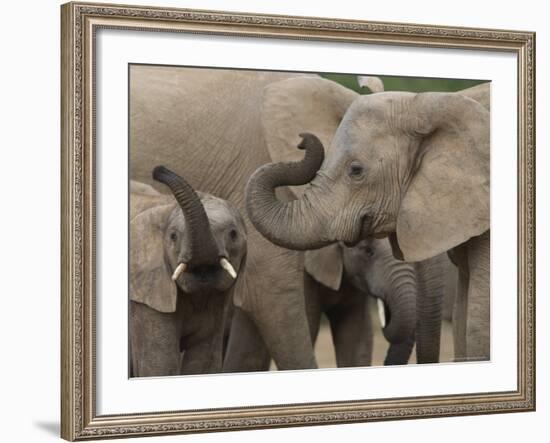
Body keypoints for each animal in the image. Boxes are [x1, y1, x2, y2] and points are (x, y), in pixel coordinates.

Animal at [129, 167, 248, 378]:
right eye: (173, 236)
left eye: (233, 234)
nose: (158, 170)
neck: (167, 207)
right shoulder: (146, 298)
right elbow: (160, 365)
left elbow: (204, 363)